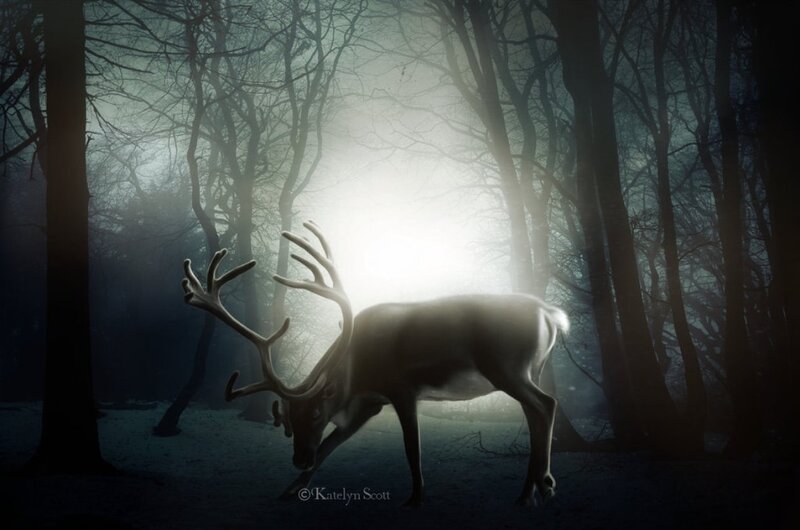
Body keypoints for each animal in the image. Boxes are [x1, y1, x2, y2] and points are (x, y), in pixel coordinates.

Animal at [181, 221, 568, 507]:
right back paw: (532, 490)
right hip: (527, 369)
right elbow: (328, 448)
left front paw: (415, 498)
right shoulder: (367, 404)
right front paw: (289, 489)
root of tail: (550, 314)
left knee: (546, 403)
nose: (298, 459)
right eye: (288, 419)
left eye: (316, 413)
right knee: (535, 411)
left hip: (507, 367)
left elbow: (412, 448)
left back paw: (541, 486)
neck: (357, 370)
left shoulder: (401, 387)